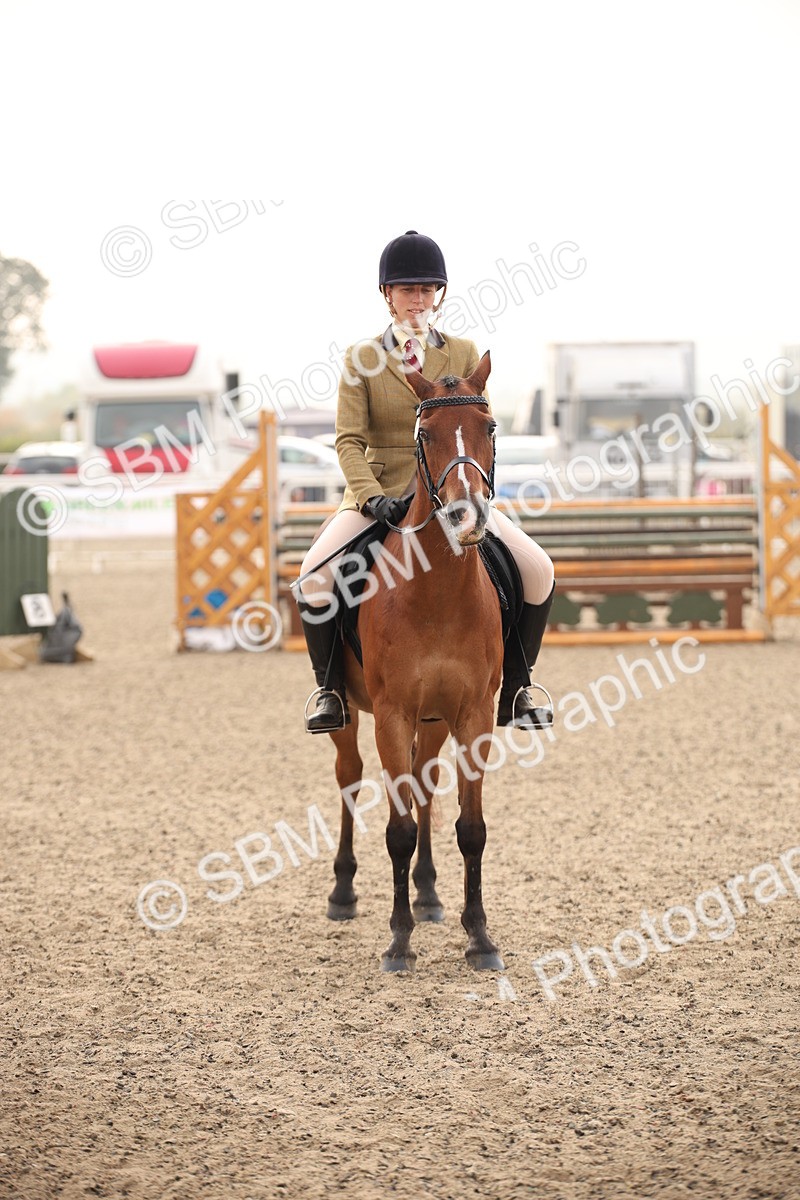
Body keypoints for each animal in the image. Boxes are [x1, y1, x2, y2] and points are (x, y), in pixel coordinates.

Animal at [325, 351, 506, 973]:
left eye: (489, 428)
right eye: (423, 434)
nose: (466, 517)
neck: (437, 595)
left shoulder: (474, 715)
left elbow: (470, 829)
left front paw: (480, 937)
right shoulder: (393, 714)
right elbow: (397, 831)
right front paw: (398, 941)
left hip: (434, 721)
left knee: (424, 786)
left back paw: (428, 894)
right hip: (353, 716)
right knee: (350, 778)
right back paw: (343, 892)